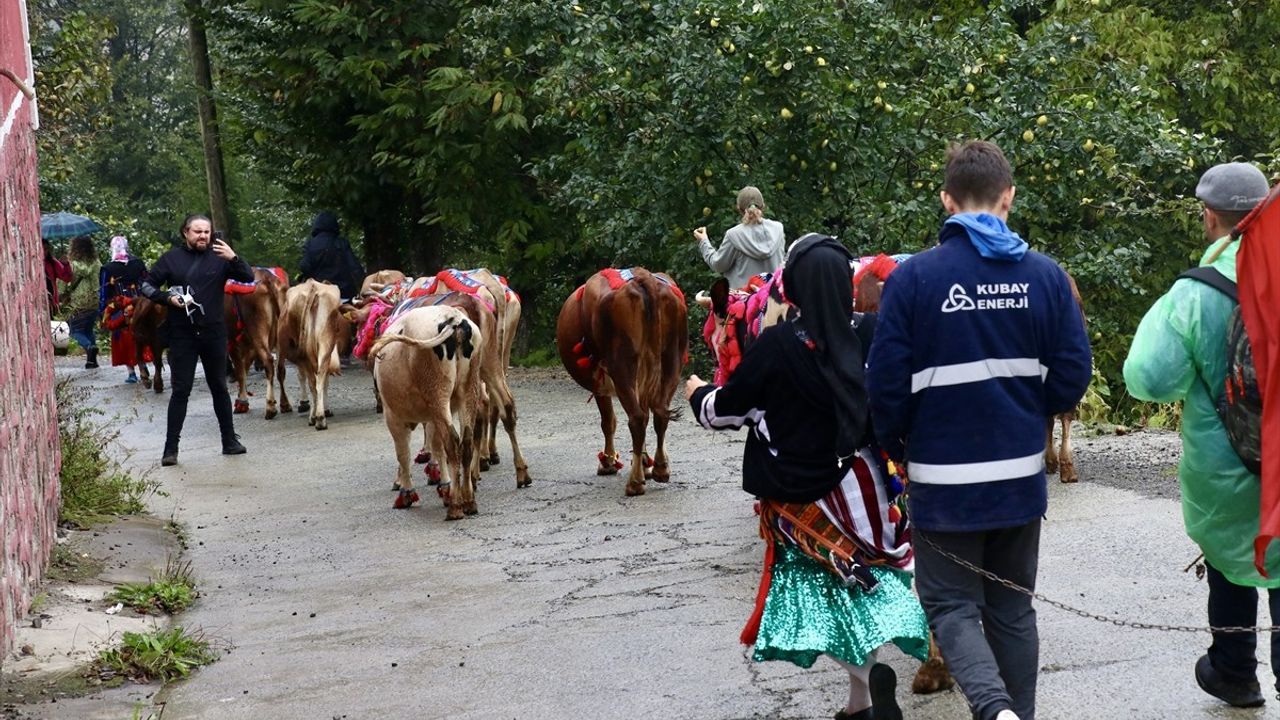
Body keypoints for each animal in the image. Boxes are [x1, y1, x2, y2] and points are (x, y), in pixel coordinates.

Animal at [277, 279, 343, 425]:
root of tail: (313, 286)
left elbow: (302, 376)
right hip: (325, 344)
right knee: (320, 377)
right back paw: (320, 417)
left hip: (309, 352)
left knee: (314, 381)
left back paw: (316, 417)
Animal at [373, 302, 486, 515]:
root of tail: (453, 318)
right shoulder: (432, 415)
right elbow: (436, 447)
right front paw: (444, 486)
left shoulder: (393, 416)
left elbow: (403, 453)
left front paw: (406, 493)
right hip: (467, 390)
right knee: (465, 441)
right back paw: (468, 500)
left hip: (437, 393)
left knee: (452, 441)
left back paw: (455, 506)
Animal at [552, 266, 686, 497]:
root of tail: (642, 276)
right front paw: (644, 463)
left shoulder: (600, 384)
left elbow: (608, 421)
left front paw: (608, 462)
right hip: (672, 359)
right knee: (658, 413)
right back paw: (660, 468)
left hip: (621, 365)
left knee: (637, 418)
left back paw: (635, 482)